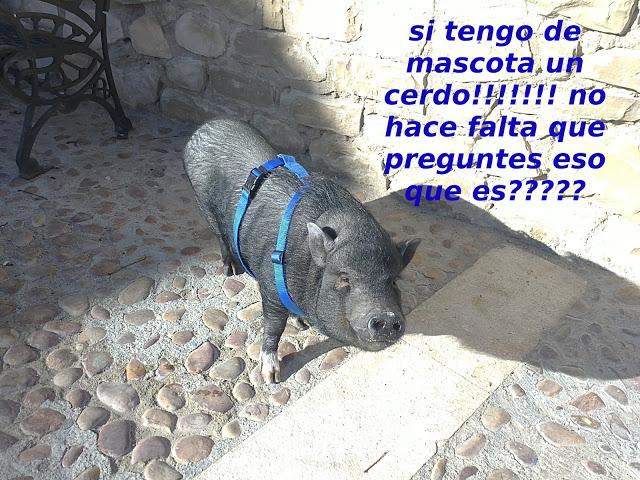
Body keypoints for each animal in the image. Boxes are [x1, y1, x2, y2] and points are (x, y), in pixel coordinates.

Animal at [183, 119, 420, 383]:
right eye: (344, 278)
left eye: (394, 281)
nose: (387, 317)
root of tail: (205, 126)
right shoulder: (270, 285)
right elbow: (274, 325)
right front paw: (271, 377)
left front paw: (302, 324)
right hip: (202, 202)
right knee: (220, 235)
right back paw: (230, 270)